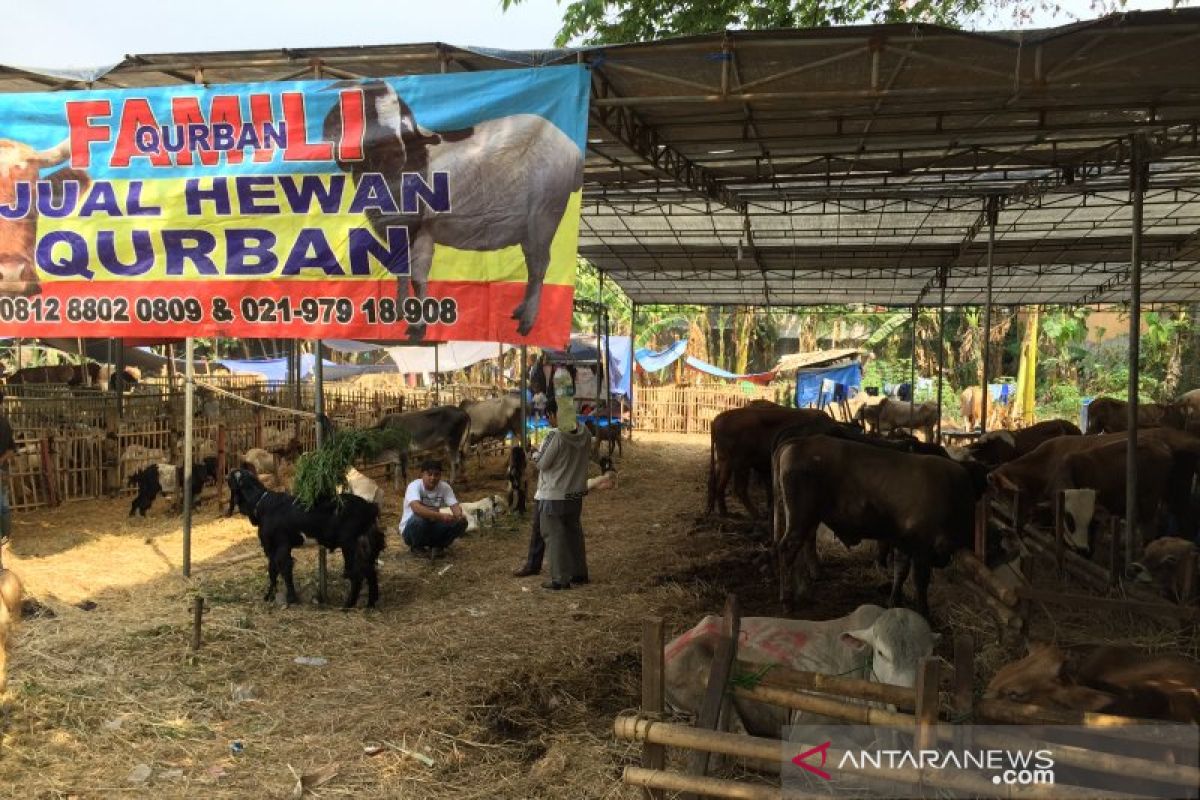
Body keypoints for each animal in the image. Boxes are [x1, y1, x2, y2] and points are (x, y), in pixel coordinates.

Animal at [226, 470, 386, 606]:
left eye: (230, 477)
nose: (227, 475)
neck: (261, 502)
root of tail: (370, 507)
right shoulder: (276, 547)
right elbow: (277, 569)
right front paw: (274, 596)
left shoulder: (278, 545)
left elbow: (280, 569)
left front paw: (285, 598)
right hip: (364, 544)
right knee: (369, 570)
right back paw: (370, 603)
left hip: (349, 544)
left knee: (357, 573)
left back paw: (348, 605)